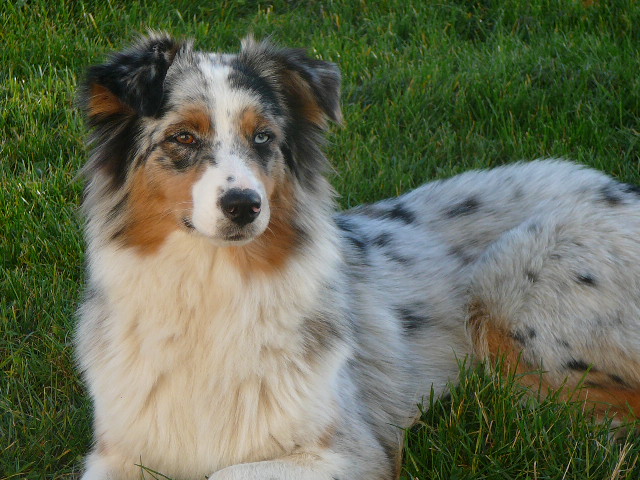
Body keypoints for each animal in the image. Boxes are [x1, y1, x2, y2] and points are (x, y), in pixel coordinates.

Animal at [77, 31, 640, 478]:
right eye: (182, 137)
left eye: (263, 137)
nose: (243, 205)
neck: (211, 291)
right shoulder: (118, 450)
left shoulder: (352, 451)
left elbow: (227, 472)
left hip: (513, 286)